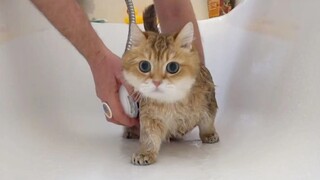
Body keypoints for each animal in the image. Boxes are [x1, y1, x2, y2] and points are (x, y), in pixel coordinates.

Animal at [121, 5, 219, 166]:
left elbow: (207, 123)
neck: (172, 101)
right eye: (144, 66)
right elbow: (149, 137)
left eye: (172, 67)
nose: (156, 81)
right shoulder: (149, 117)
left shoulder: (209, 104)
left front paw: (209, 135)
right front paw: (145, 153)